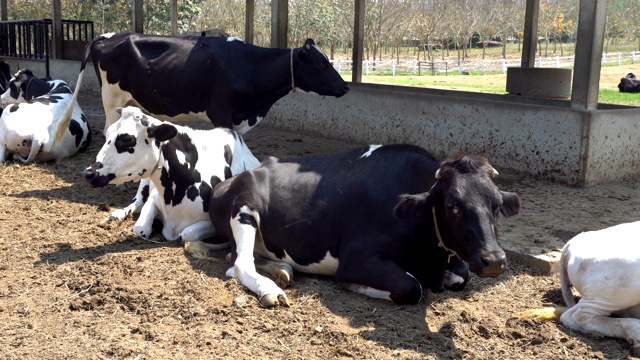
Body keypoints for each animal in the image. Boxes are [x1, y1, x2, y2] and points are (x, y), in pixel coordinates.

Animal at [80, 31, 352, 134]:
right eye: (321, 63)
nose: (346, 86)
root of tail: (109, 35)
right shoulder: (220, 111)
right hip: (110, 98)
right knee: (108, 130)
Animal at [82, 106, 260, 245]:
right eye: (108, 134)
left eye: (126, 139)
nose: (88, 173)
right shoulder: (154, 196)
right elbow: (139, 228)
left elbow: (186, 234)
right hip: (144, 180)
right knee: (137, 201)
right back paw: (116, 214)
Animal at [210, 145, 520, 308]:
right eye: (453, 206)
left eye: (496, 204)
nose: (494, 260)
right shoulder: (356, 258)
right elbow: (413, 287)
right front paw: (356, 286)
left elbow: (460, 277)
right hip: (244, 210)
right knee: (239, 264)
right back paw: (270, 288)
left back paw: (282, 270)